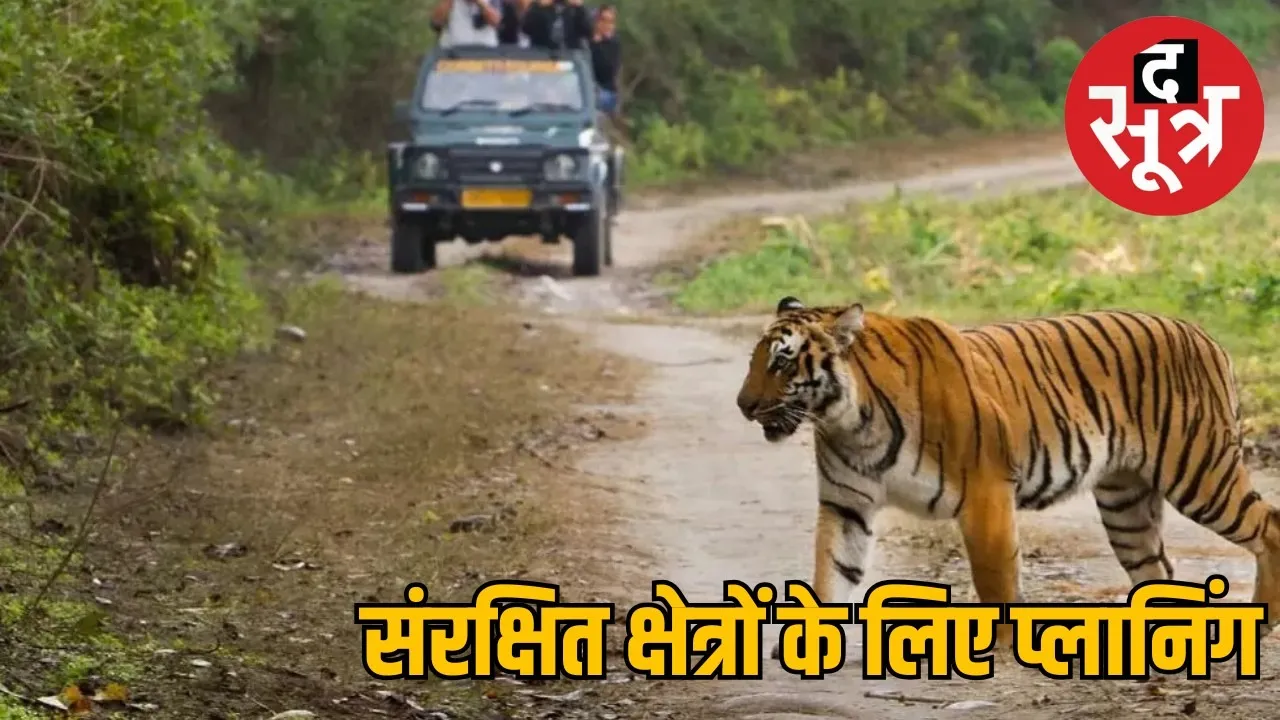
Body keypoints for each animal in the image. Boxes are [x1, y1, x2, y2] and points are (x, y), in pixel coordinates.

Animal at [735, 295, 1280, 650]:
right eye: (756, 360)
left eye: (782, 362)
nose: (743, 405)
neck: (848, 420)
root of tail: (1203, 334)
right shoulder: (846, 504)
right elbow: (831, 571)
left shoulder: (985, 492)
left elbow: (994, 577)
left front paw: (999, 643)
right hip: (1126, 503)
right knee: (1157, 568)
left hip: (1199, 472)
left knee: (1269, 525)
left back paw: (1265, 617)